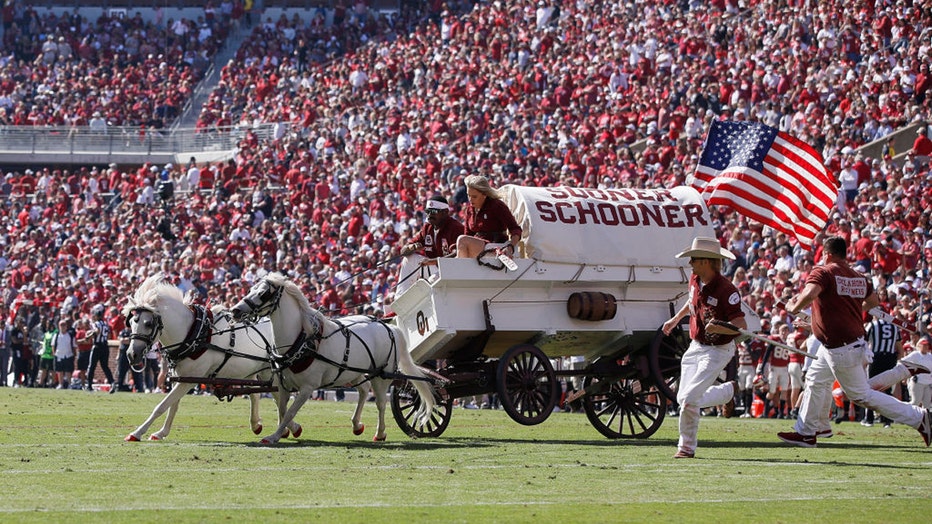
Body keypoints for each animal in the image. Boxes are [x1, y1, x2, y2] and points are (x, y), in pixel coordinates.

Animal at [124, 274, 302, 442]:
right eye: (132, 322)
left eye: (148, 324)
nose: (132, 354)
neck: (193, 334)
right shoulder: (180, 378)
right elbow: (173, 405)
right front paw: (162, 432)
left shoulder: (190, 379)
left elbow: (162, 405)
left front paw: (137, 433)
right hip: (253, 370)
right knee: (259, 395)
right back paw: (260, 425)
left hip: (268, 372)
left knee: (277, 396)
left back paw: (289, 427)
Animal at [233, 272, 436, 444]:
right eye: (250, 289)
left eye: (263, 293)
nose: (235, 310)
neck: (301, 340)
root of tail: (389, 327)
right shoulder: (283, 384)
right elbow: (283, 409)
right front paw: (290, 430)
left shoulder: (308, 387)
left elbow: (290, 411)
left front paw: (275, 436)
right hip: (353, 373)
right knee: (364, 390)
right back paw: (356, 424)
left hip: (381, 376)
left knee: (380, 403)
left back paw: (380, 433)